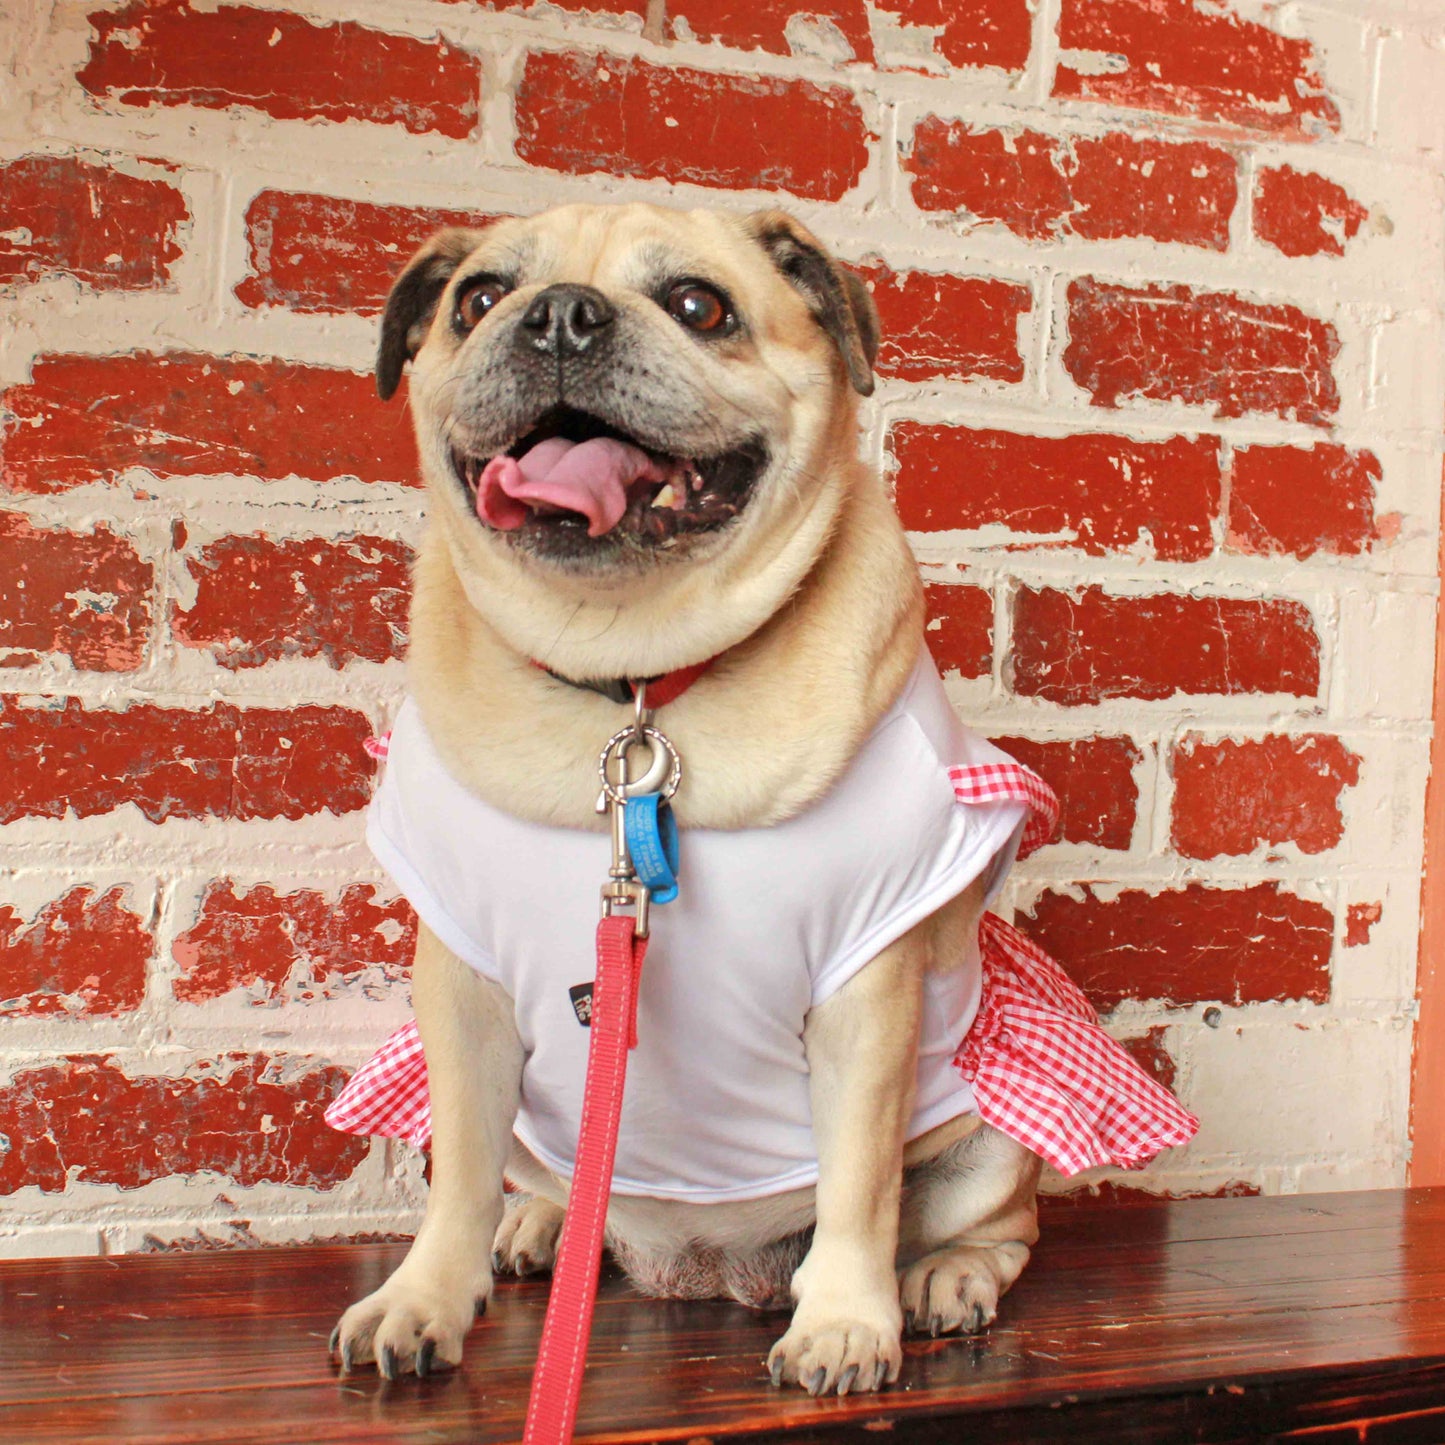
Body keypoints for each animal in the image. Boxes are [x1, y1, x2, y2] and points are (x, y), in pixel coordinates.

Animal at [332, 203, 1190, 1398]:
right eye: (479, 298)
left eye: (699, 306)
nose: (559, 316)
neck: (637, 683)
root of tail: (696, 1268)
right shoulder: (460, 993)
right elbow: (455, 1167)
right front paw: (420, 1297)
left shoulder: (867, 994)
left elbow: (860, 1183)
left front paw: (844, 1322)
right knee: (540, 1180)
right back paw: (541, 1223)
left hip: (990, 1125)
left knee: (987, 1226)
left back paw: (939, 1281)